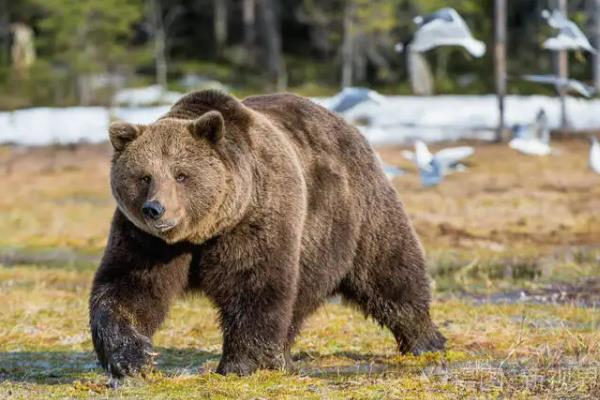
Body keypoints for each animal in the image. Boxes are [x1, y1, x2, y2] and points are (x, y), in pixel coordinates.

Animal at [90, 90, 446, 382]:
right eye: (144, 176)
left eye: (181, 175)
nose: (156, 209)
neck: (205, 232)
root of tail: (345, 124)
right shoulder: (144, 241)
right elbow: (128, 288)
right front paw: (133, 360)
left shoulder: (256, 217)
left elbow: (255, 284)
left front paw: (241, 364)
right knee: (297, 305)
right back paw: (283, 357)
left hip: (354, 213)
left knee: (390, 270)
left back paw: (427, 340)